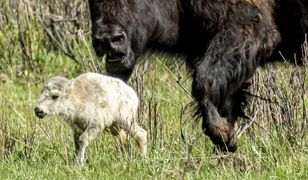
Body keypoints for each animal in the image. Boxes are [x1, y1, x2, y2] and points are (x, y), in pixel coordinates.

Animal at [86, 0, 308, 152]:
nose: (108, 39)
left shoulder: (246, 30)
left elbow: (203, 83)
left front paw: (224, 136)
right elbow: (223, 100)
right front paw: (227, 144)